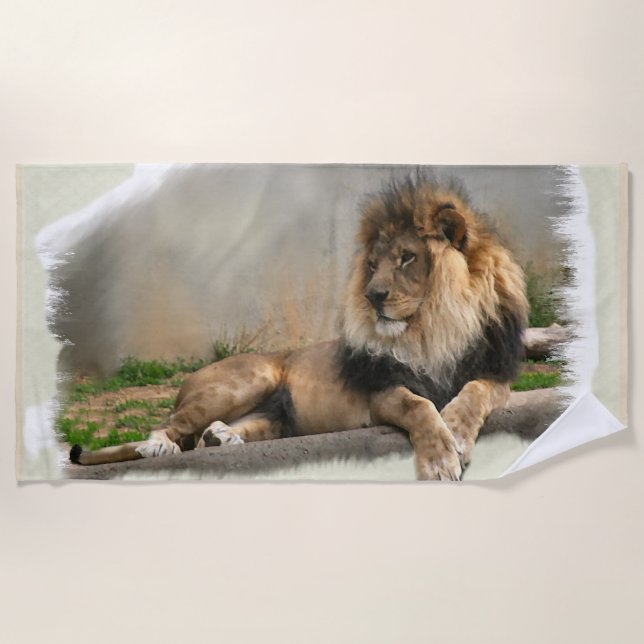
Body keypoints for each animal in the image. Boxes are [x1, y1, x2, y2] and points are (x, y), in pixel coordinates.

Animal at [69, 175, 528, 480]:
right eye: (373, 263)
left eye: (407, 258)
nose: (372, 295)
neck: (435, 328)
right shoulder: (380, 392)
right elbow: (418, 406)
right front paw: (439, 458)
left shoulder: (495, 374)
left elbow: (474, 393)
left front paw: (458, 432)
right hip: (245, 380)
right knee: (173, 427)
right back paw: (159, 444)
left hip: (274, 417)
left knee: (206, 436)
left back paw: (221, 439)